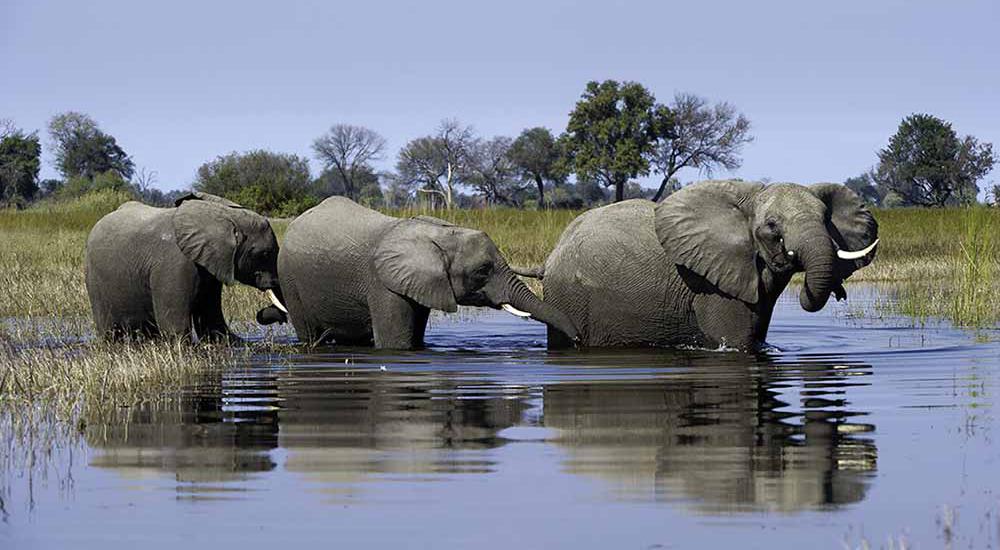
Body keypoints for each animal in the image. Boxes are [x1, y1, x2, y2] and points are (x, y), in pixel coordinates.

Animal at [83, 193, 288, 340]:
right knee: (109, 332)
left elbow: (212, 322)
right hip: (94, 280)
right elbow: (175, 327)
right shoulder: (174, 263)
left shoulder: (210, 265)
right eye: (264, 254)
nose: (264, 313)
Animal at [274, 197, 580, 350]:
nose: (577, 340)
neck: (439, 234)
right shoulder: (383, 284)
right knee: (306, 331)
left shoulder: (422, 283)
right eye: (482, 271)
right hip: (288, 277)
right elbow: (395, 344)